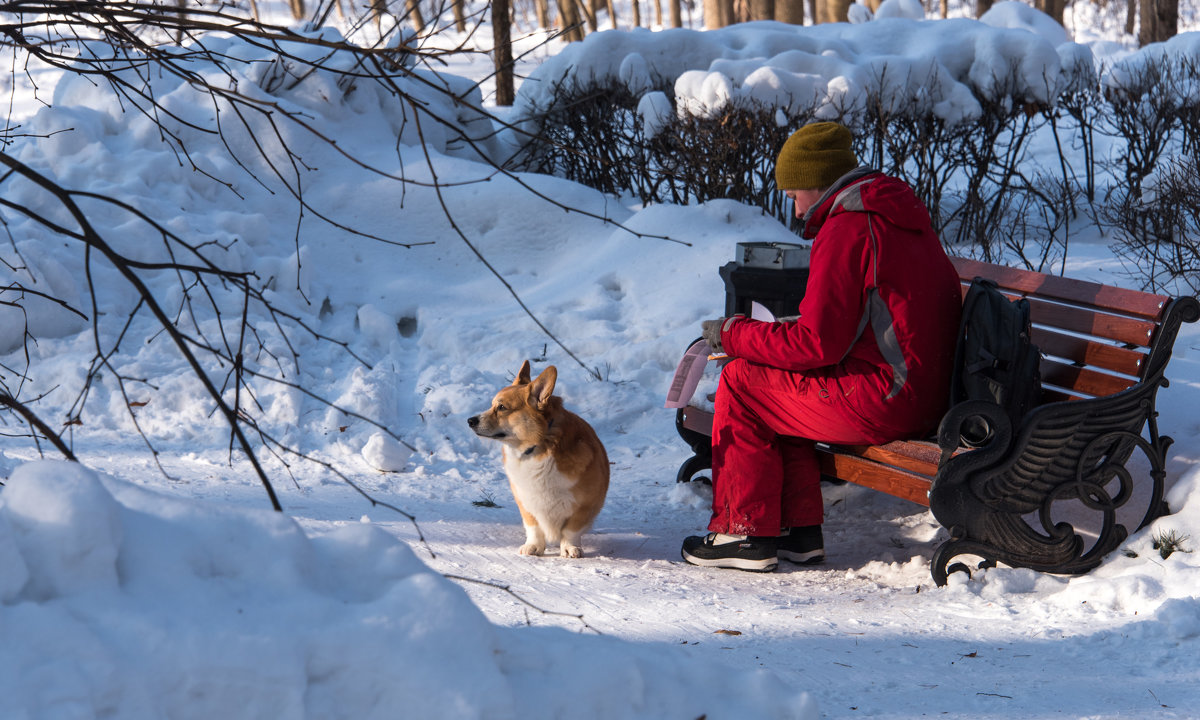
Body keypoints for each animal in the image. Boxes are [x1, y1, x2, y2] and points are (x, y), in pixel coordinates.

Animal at [468, 362, 609, 559]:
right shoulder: (526, 501)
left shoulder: (585, 505)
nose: (469, 420)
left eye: (501, 407)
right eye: (492, 405)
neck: (538, 446)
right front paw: (533, 546)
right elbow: (533, 527)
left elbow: (571, 530)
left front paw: (570, 547)